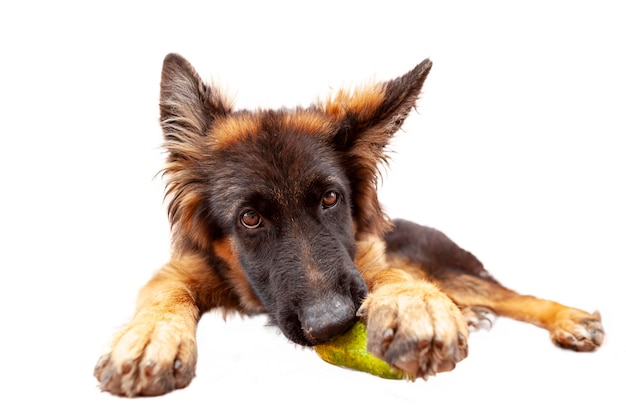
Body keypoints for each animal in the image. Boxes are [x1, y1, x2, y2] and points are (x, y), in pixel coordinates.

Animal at [92, 52, 600, 396]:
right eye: (249, 219)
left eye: (331, 199)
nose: (332, 325)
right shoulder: (182, 269)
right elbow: (164, 294)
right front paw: (150, 337)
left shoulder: (365, 257)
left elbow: (394, 275)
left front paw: (415, 305)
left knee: (512, 295)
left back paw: (566, 318)